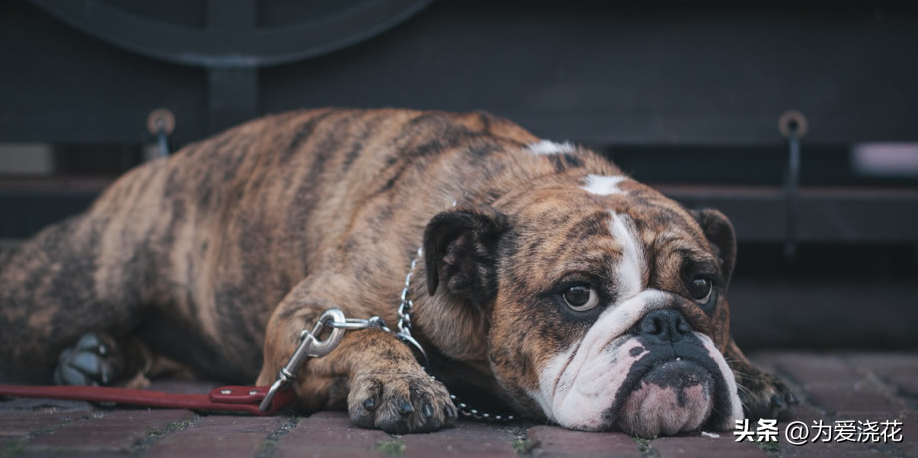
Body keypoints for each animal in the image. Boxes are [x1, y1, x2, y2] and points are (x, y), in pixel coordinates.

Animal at [0, 108, 796, 436]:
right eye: (577, 296)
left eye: (702, 286)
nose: (667, 325)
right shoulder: (308, 316)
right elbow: (366, 334)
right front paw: (401, 383)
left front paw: (750, 372)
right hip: (70, 282)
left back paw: (98, 361)